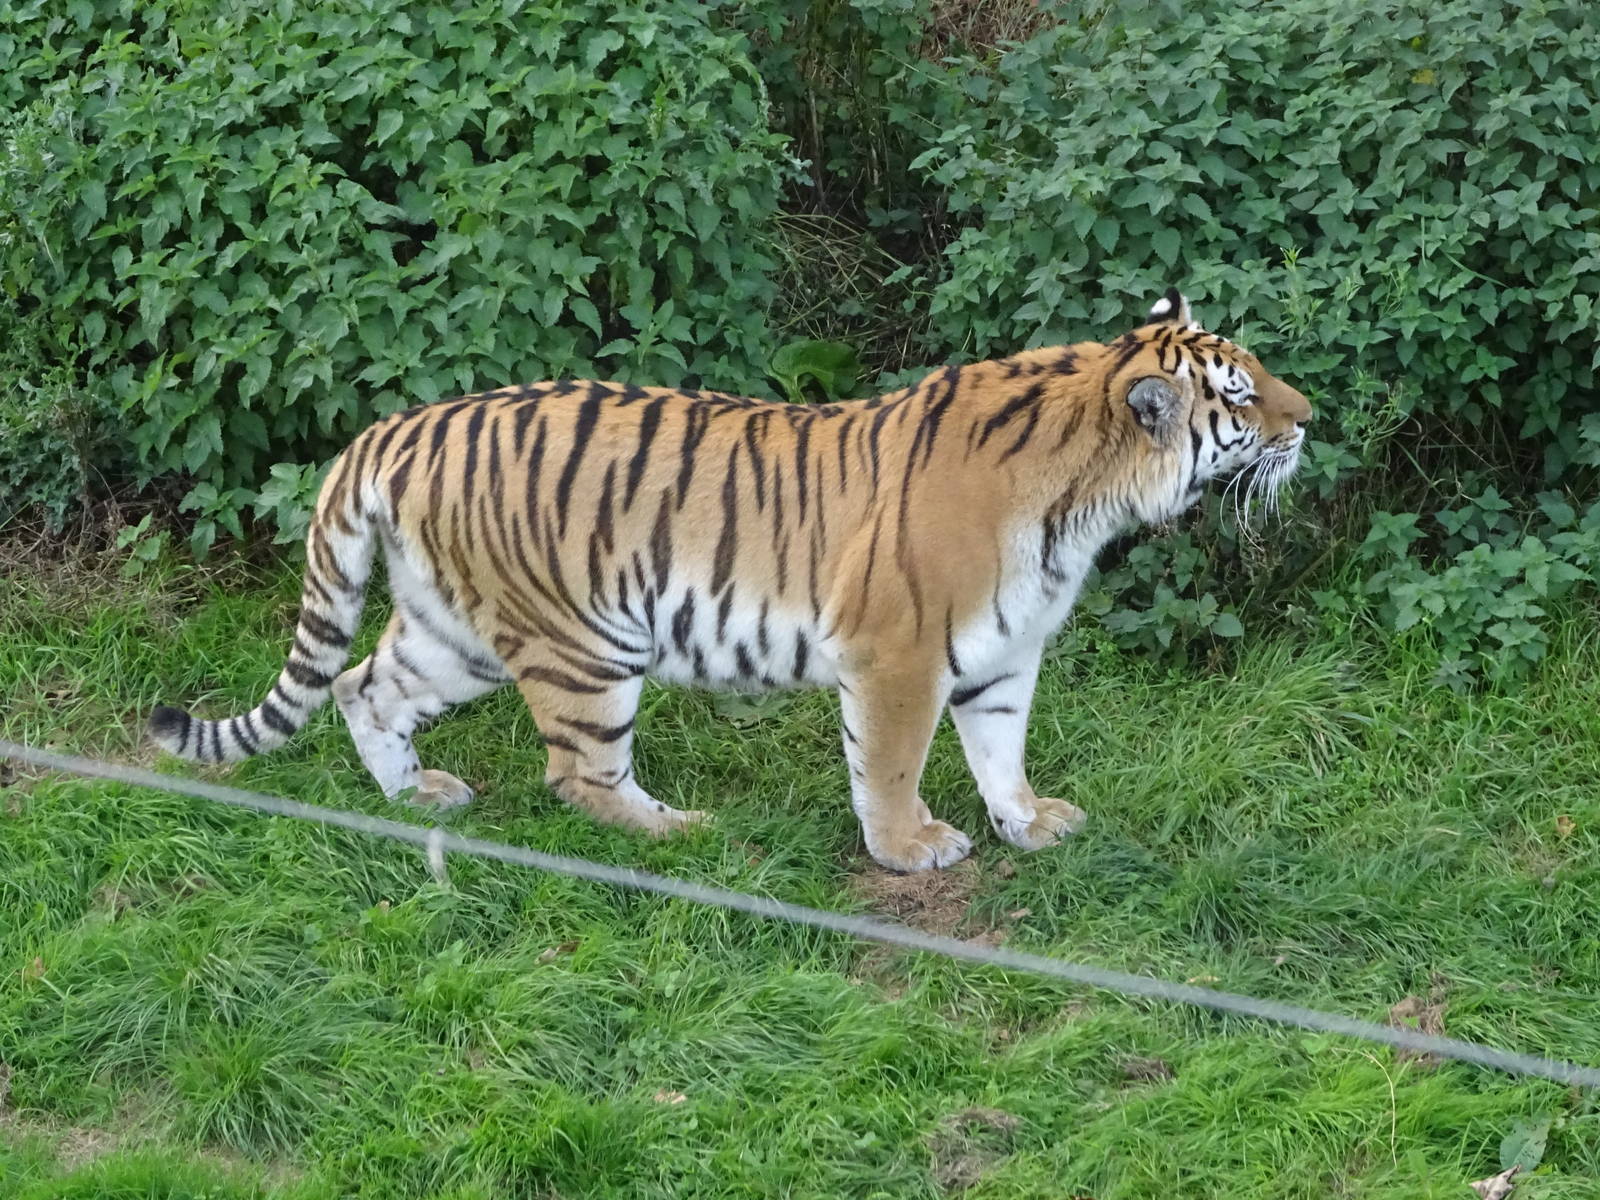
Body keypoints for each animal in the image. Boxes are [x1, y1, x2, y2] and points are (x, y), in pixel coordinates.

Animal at [149, 289, 1311, 872]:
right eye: (1239, 396)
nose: (1310, 420)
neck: (1087, 499)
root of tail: (395, 428)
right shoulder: (896, 655)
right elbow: (892, 765)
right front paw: (910, 850)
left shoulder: (1001, 650)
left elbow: (1001, 751)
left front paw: (1026, 824)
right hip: (583, 643)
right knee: (578, 775)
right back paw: (681, 833)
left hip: (457, 629)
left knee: (360, 686)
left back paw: (417, 793)